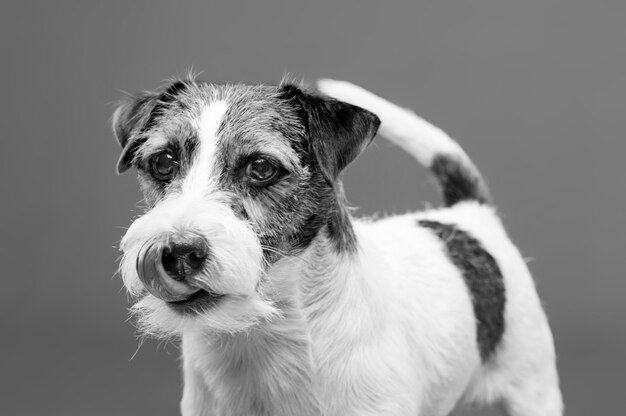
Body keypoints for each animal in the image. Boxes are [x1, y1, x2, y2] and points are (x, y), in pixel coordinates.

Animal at [111, 76, 560, 414]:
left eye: (261, 167)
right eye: (163, 162)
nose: (177, 251)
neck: (267, 338)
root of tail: (469, 213)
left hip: (533, 390)